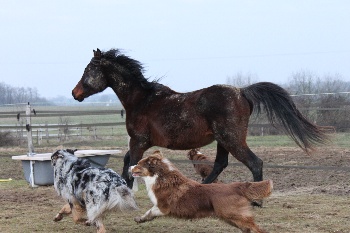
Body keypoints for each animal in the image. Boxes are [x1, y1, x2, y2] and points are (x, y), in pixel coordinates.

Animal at [72, 48, 330, 188]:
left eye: (88, 71)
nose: (75, 93)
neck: (141, 99)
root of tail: (242, 92)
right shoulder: (140, 142)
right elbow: (127, 163)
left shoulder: (139, 141)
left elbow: (130, 166)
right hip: (223, 141)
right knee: (219, 165)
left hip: (232, 139)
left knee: (255, 163)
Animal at [131, 150, 274, 232]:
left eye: (138, 164)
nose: (130, 166)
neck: (161, 176)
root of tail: (236, 185)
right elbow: (148, 212)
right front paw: (140, 219)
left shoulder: (164, 207)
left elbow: (152, 211)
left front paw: (141, 218)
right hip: (232, 218)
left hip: (233, 214)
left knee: (257, 228)